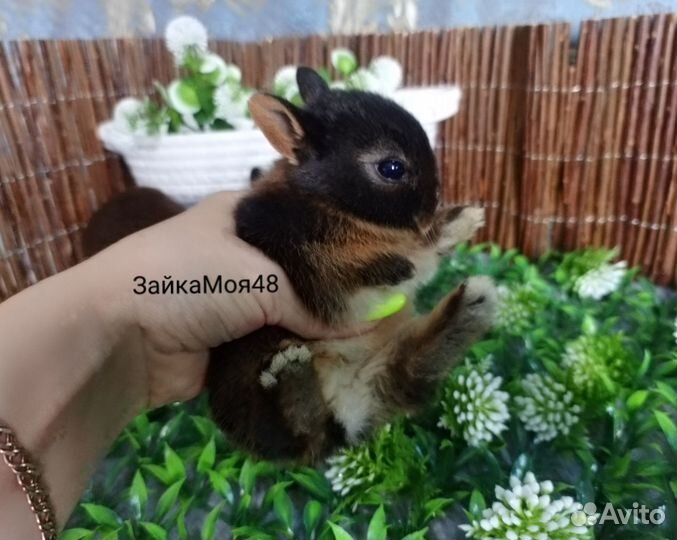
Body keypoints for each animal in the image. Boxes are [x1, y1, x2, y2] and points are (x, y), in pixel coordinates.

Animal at [83, 67, 496, 464]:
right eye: (392, 168)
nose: (430, 208)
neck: (330, 202)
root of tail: (347, 410)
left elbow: (423, 255)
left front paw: (462, 221)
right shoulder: (308, 269)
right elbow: (371, 268)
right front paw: (396, 263)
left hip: (389, 364)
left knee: (411, 366)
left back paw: (473, 303)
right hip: (253, 385)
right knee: (301, 428)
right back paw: (290, 373)